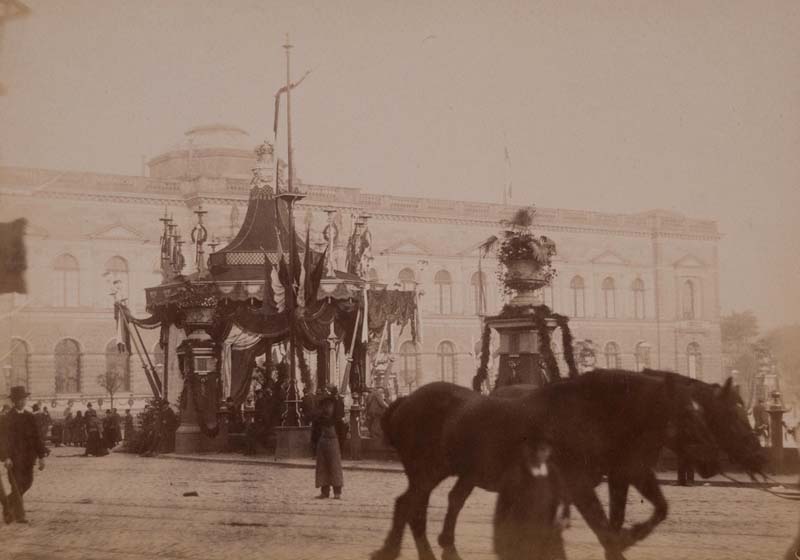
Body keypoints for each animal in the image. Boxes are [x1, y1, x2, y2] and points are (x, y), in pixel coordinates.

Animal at [376, 372, 724, 560]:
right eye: (687, 414)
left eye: (700, 411)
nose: (714, 461)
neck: (592, 414)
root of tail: (405, 400)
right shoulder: (581, 485)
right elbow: (603, 529)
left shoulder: (627, 471)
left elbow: (656, 509)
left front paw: (631, 534)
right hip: (427, 471)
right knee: (408, 506)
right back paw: (394, 549)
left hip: (456, 473)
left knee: (436, 504)